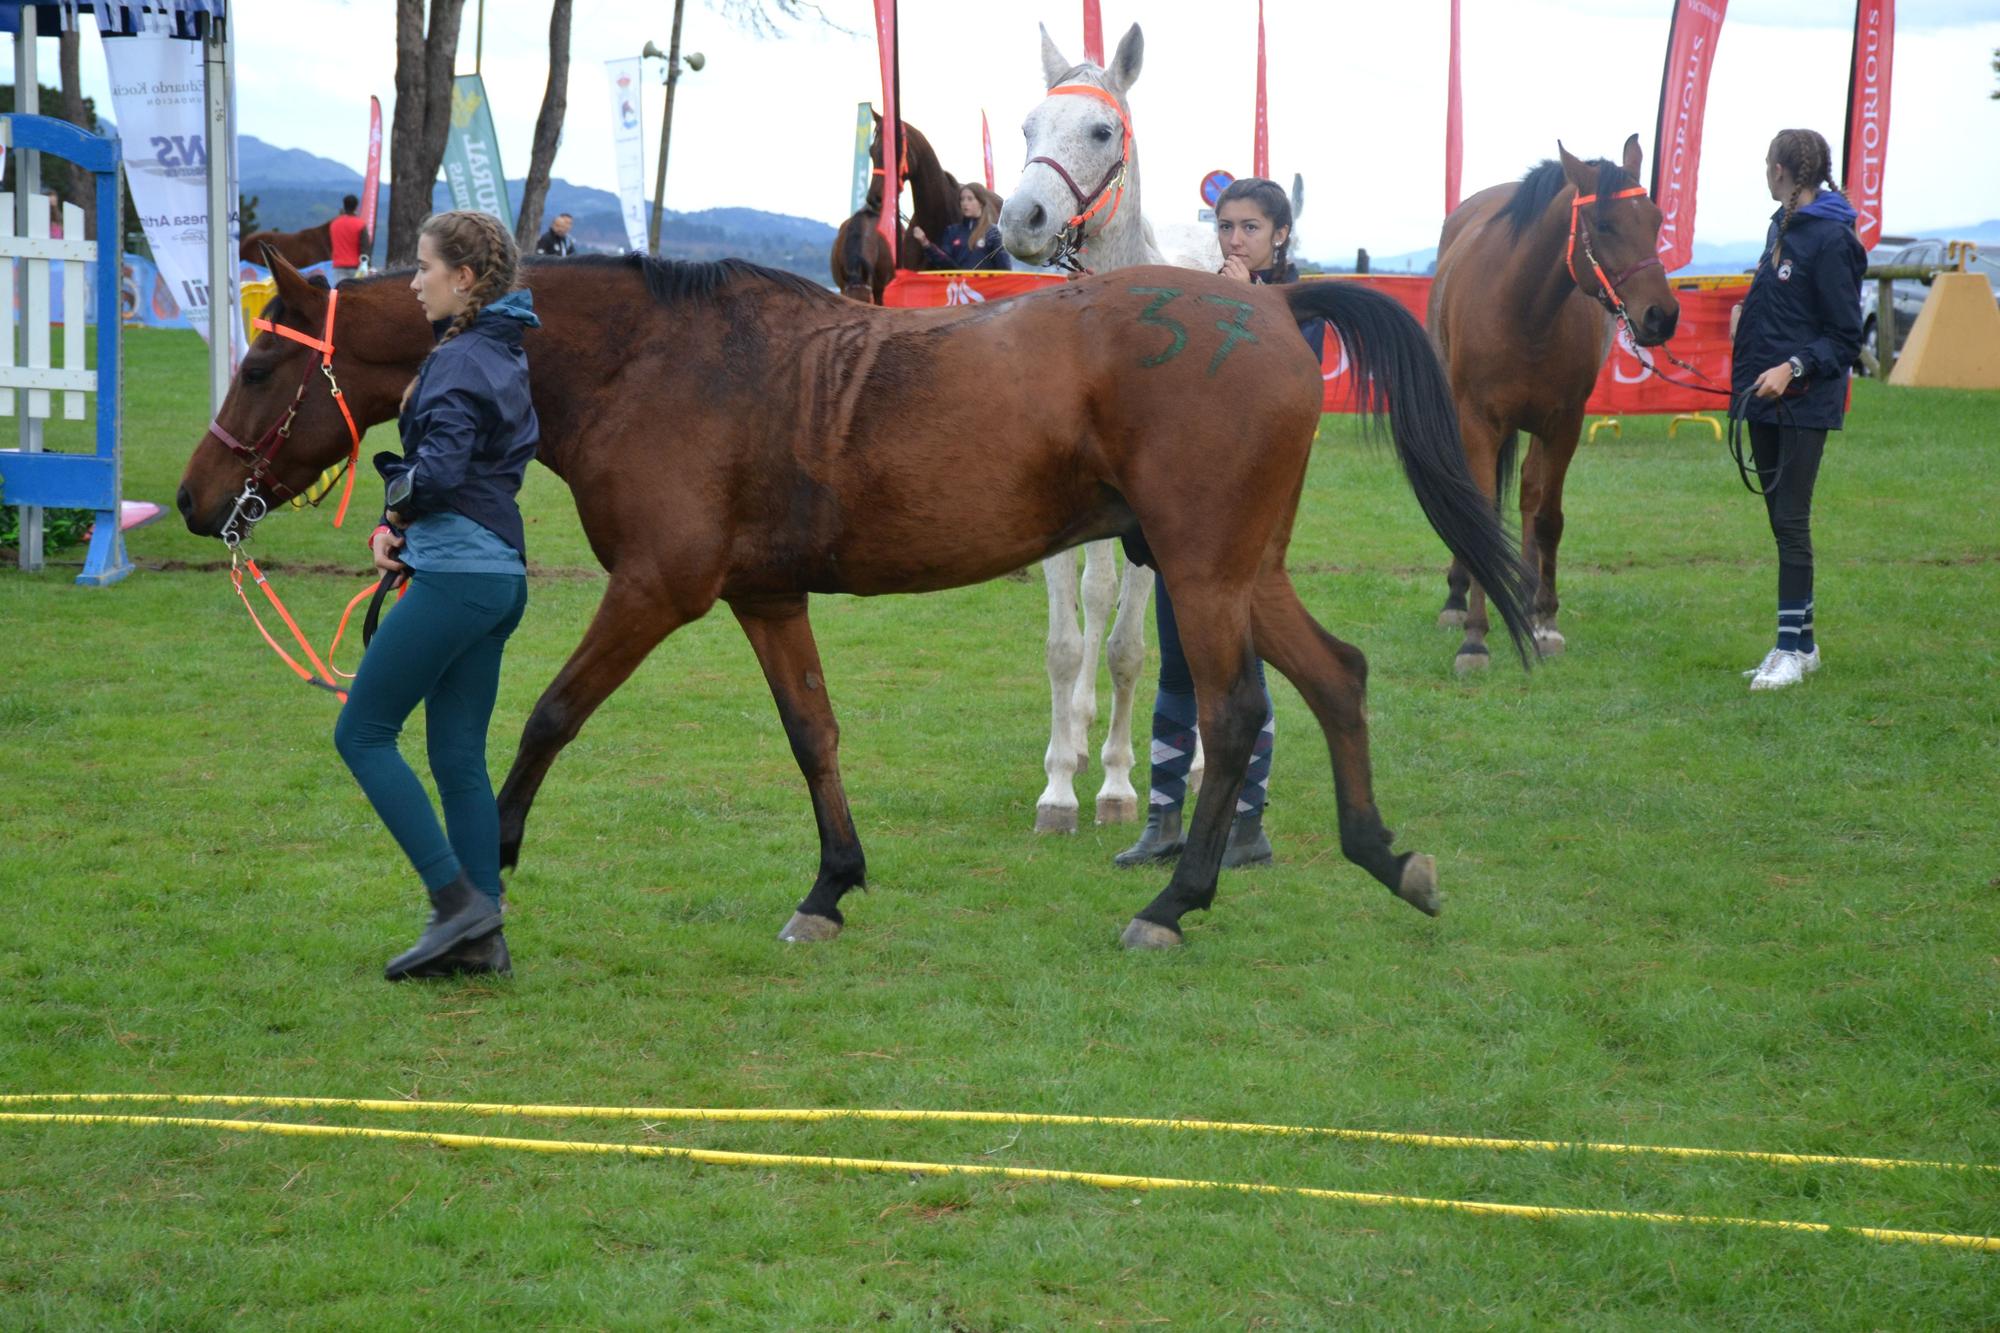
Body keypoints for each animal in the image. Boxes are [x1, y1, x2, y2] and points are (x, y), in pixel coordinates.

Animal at [184, 249, 1528, 948]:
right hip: (1242, 570)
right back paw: (1383, 855)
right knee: (1337, 676)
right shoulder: (767, 599)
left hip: (1199, 574)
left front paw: (494, 863)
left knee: (1239, 718)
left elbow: (551, 715)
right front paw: (830, 885)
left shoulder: (656, 590)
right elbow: (812, 734)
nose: (199, 499)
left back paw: (1173, 899)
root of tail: (1267, 300)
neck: (650, 365)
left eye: (259, 369)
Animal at [1432, 137, 1680, 664]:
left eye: (1655, 219)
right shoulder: (1477, 420)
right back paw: (1458, 596)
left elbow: (1548, 517)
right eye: (1604, 224)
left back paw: (1525, 596)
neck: (1524, 310)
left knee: (1529, 492)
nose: (1662, 316)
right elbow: (1481, 510)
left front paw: (1544, 619)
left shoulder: (1563, 424)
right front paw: (1475, 637)